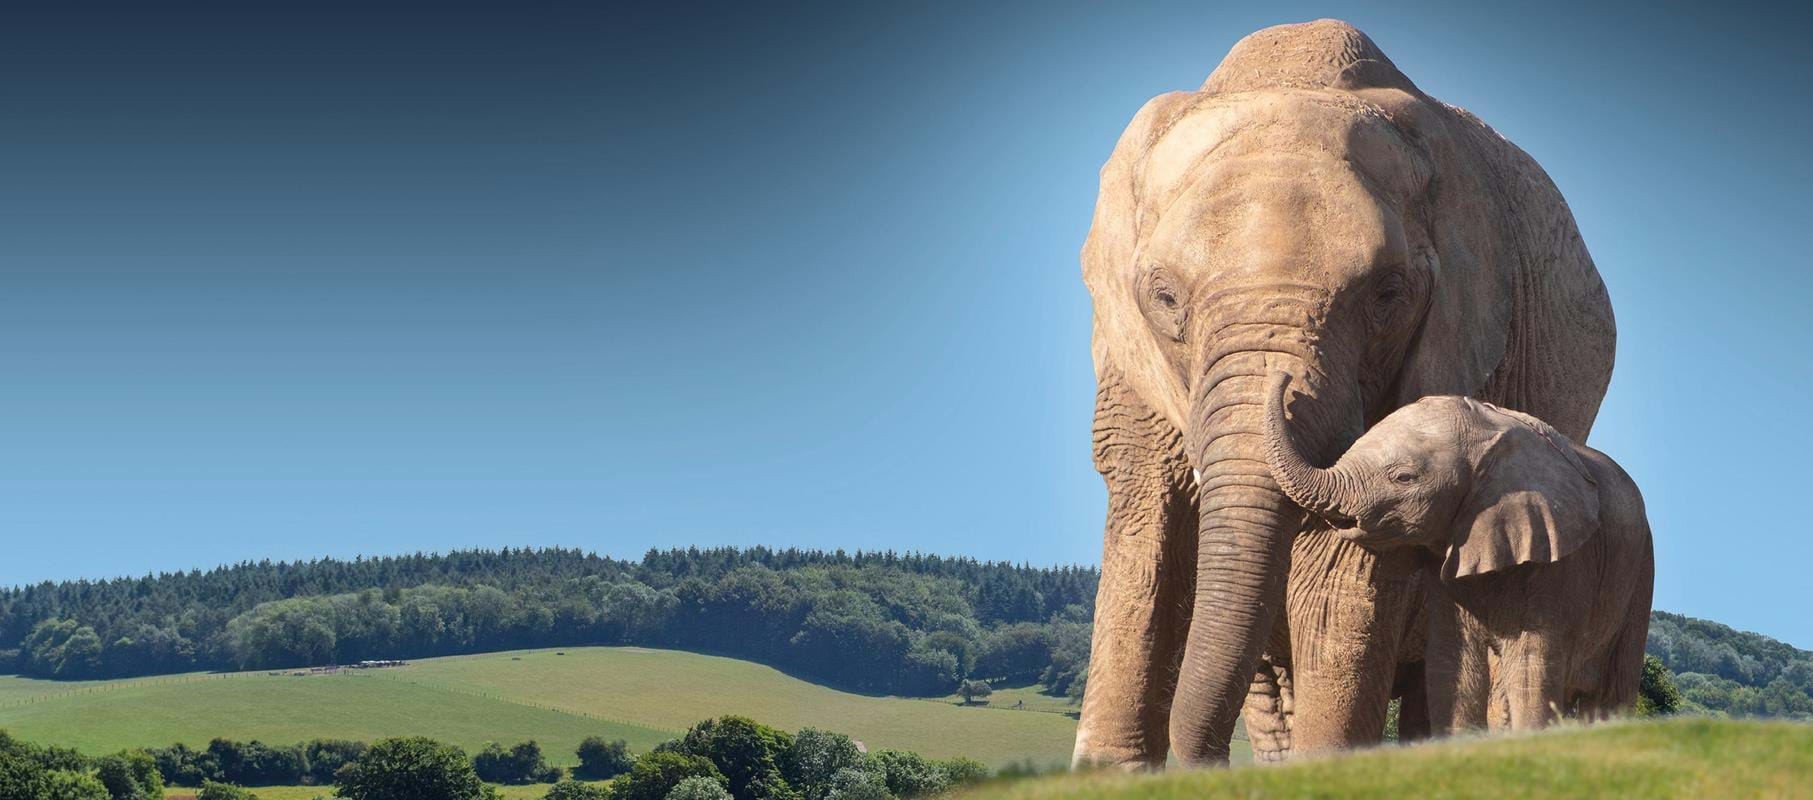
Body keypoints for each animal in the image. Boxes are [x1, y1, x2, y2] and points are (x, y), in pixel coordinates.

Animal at [1269, 371, 1653, 732]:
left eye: (1404, 478)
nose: (1286, 380)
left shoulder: (1559, 557)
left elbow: (1531, 667)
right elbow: (1453, 663)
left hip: (1640, 576)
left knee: (1611, 691)